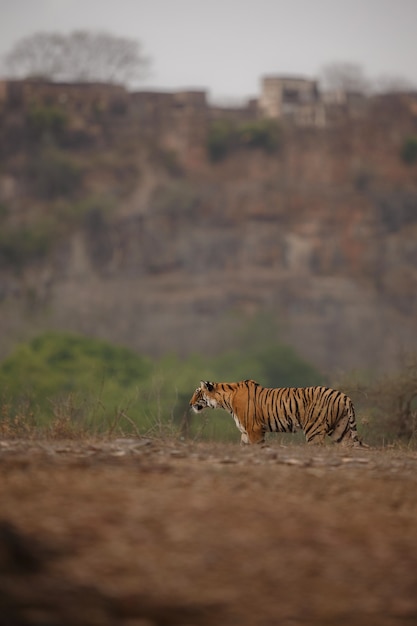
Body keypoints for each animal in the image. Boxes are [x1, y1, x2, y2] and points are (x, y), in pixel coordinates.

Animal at [188, 378, 364, 446]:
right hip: (341, 431)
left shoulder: (254, 429)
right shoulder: (245, 432)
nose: (189, 404)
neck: (225, 400)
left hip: (314, 430)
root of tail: (344, 396)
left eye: (197, 393)